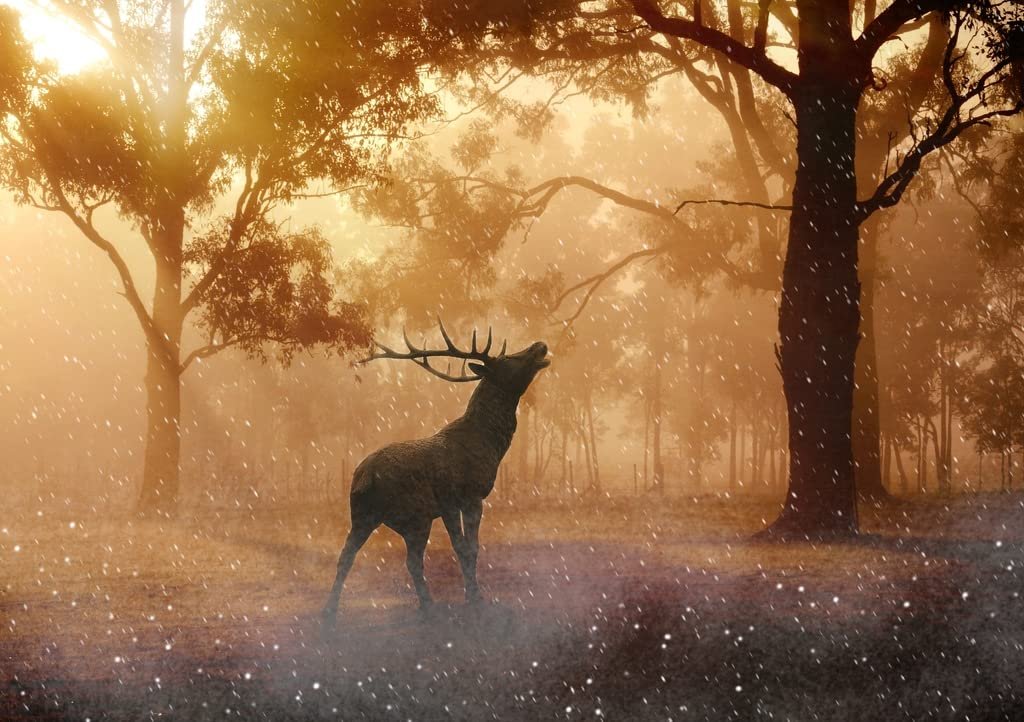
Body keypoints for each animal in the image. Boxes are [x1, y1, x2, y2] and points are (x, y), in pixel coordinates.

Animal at [321, 320, 550, 631]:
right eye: (508, 359)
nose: (540, 345)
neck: (490, 445)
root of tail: (364, 477)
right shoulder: (463, 496)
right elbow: (468, 548)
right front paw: (475, 599)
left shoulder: (454, 504)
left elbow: (468, 548)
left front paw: (471, 596)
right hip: (414, 514)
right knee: (405, 560)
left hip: (372, 515)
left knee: (358, 556)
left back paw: (333, 610)